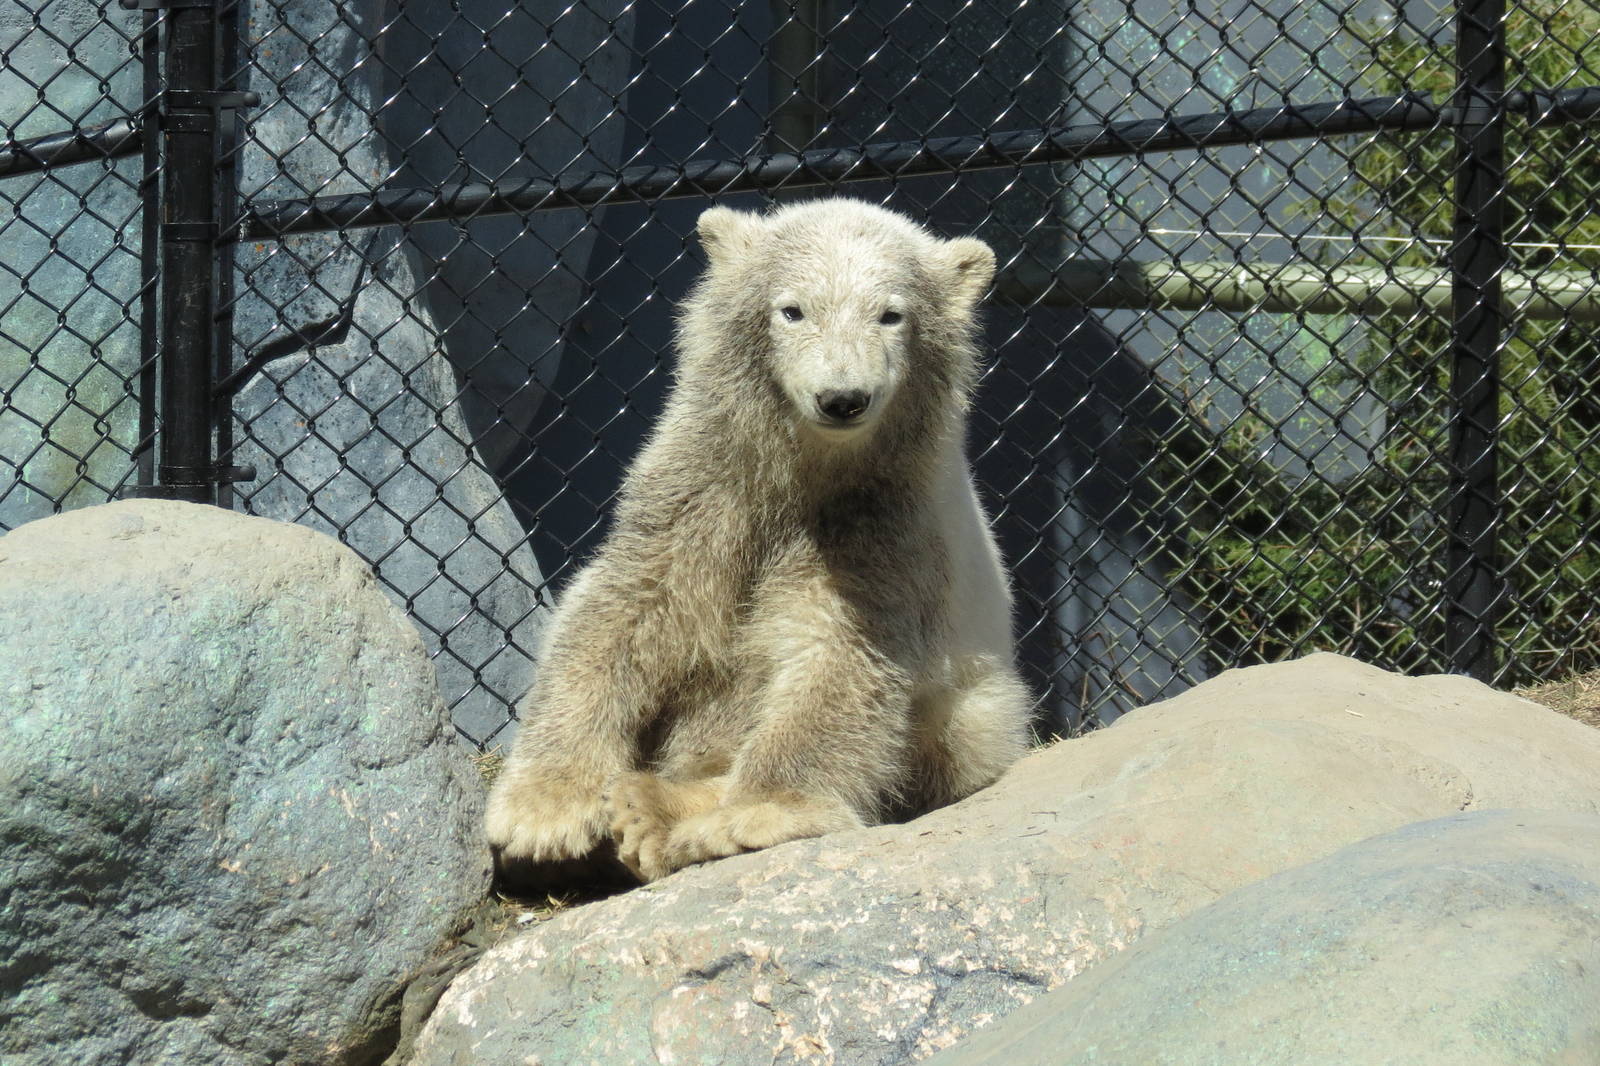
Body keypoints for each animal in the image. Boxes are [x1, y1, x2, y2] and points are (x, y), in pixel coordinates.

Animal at [484, 197, 1033, 887]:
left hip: (977, 702)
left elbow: (836, 653)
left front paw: (755, 816)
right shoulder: (703, 487)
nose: (843, 398)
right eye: (792, 309)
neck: (808, 472)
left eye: (891, 313)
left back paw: (656, 810)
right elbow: (622, 607)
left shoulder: (885, 527)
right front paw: (544, 810)